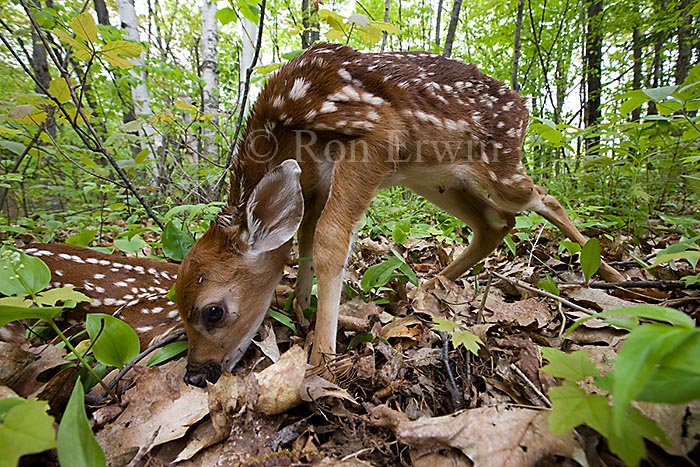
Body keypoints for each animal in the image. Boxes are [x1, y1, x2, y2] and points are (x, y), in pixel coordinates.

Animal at [176, 42, 625, 388]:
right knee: (495, 221)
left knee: (543, 198)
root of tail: (522, 103)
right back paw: (430, 284)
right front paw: (300, 306)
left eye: (213, 311)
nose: (195, 374)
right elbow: (304, 236)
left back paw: (610, 271)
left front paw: (321, 360)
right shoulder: (314, 180)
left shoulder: (377, 134)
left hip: (497, 166)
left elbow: (329, 239)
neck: (283, 127)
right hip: (436, 177)